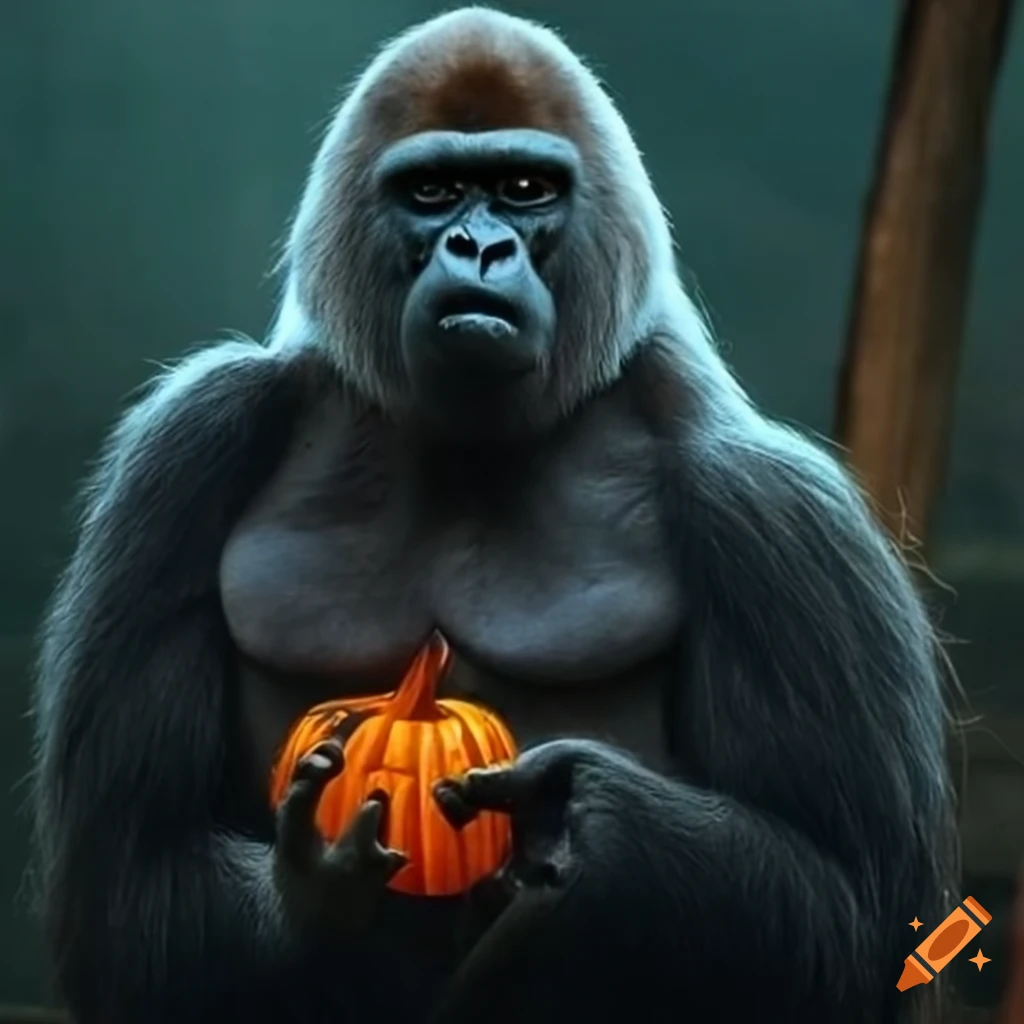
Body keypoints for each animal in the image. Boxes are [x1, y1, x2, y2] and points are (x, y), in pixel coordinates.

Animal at [31, 7, 957, 1024]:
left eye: (523, 190)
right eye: (434, 191)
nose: (480, 250)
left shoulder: (777, 510)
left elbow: (850, 909)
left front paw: (587, 823)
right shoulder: (188, 450)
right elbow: (129, 882)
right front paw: (313, 889)